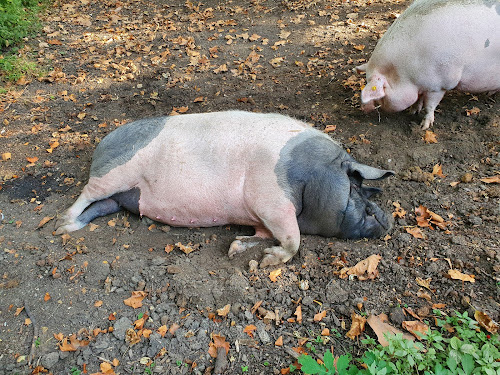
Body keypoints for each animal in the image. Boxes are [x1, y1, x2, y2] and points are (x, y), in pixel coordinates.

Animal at [55, 111, 394, 268]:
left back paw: (71, 228)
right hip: (114, 174)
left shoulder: (262, 216)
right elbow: (293, 239)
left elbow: (265, 235)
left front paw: (234, 249)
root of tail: (102, 143)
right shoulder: (271, 199)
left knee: (100, 207)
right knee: (86, 194)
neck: (311, 174)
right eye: (358, 190)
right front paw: (266, 261)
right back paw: (60, 226)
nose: (388, 219)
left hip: (121, 197)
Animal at [356, 0, 500, 129]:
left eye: (379, 93)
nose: (362, 108)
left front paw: (423, 127)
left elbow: (430, 106)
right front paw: (413, 111)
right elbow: (419, 99)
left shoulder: (439, 85)